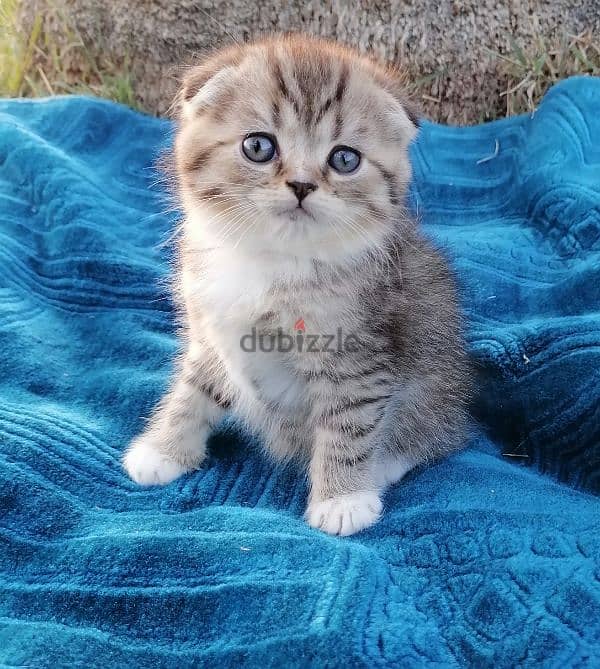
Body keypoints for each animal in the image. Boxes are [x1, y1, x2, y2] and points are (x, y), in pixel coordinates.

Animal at [122, 34, 472, 536]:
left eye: (344, 158)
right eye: (258, 146)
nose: (303, 185)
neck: (273, 261)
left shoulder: (356, 354)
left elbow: (349, 421)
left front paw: (343, 499)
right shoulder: (208, 331)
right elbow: (193, 389)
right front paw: (164, 448)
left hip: (435, 386)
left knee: (433, 433)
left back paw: (385, 465)